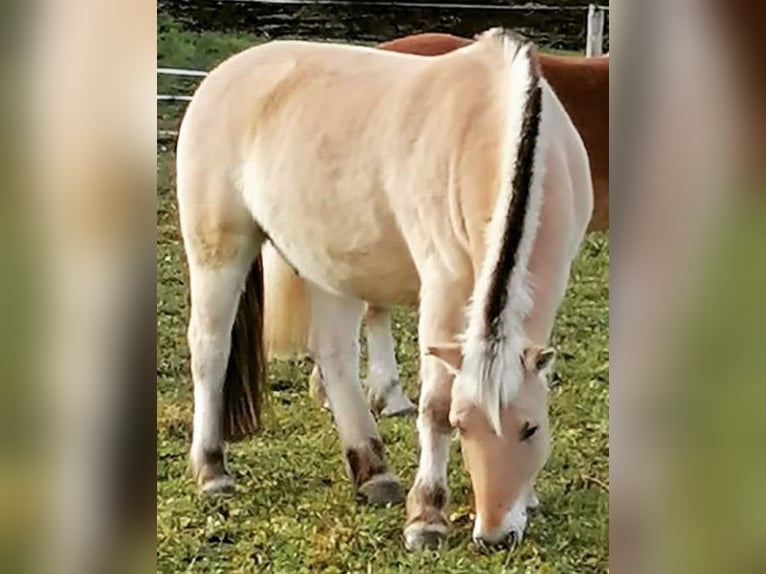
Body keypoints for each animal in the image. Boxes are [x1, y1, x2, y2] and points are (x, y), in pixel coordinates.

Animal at [178, 29, 592, 552]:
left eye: (531, 428)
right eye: (462, 426)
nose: (495, 536)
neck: (496, 125)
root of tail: (223, 74)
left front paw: (529, 499)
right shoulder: (443, 288)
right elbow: (434, 406)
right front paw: (427, 518)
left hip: (329, 264)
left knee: (333, 356)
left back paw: (373, 470)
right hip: (218, 249)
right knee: (210, 349)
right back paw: (212, 469)